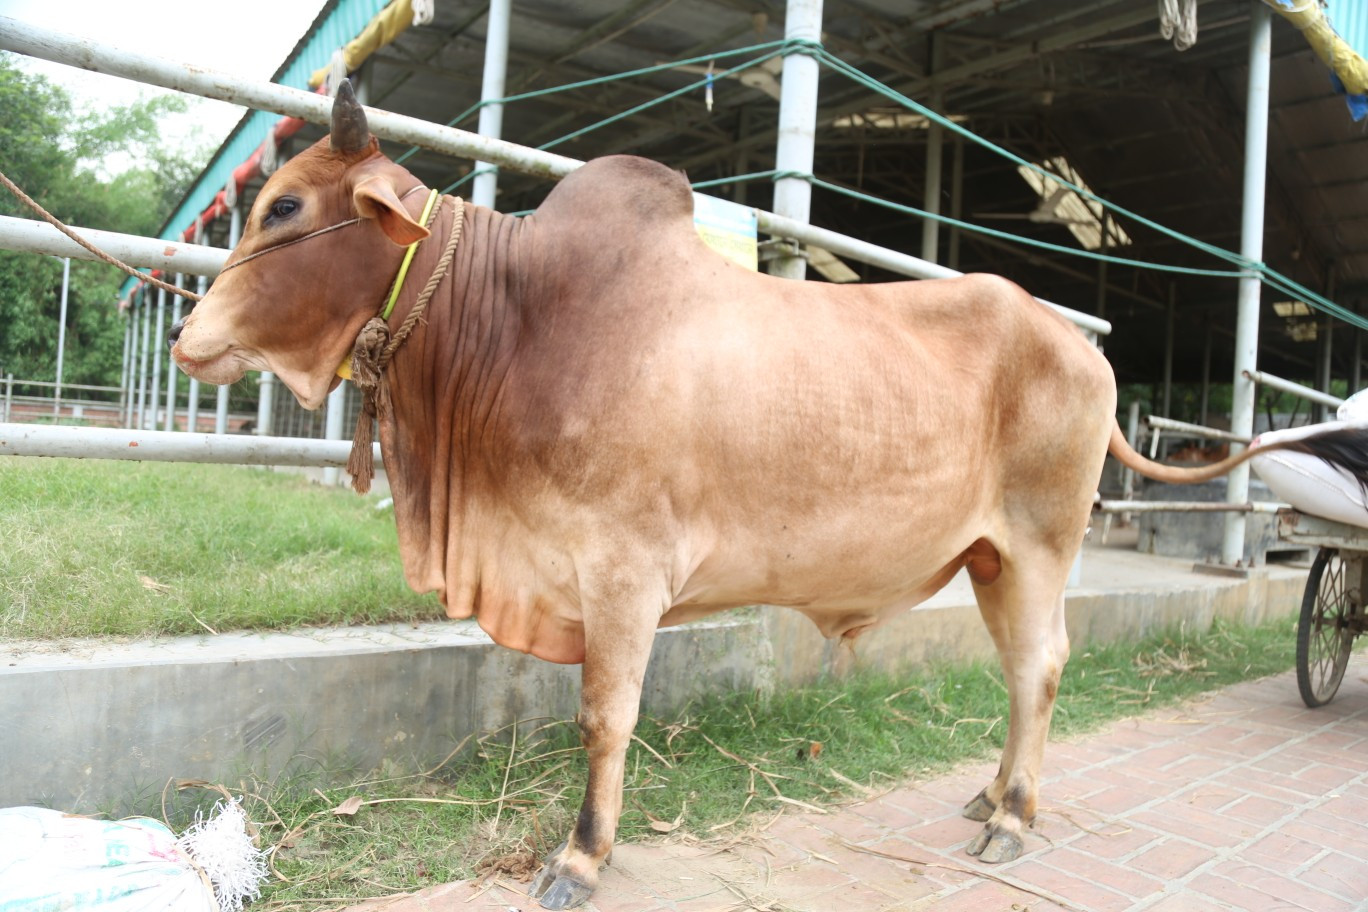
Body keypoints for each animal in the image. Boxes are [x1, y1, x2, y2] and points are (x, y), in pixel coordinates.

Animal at [170, 82, 1366, 909]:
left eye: (286, 205)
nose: (188, 336)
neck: (519, 321)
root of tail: (1080, 345)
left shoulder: (624, 575)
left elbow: (604, 718)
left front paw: (581, 858)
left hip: (1039, 546)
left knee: (1039, 668)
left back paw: (1015, 821)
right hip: (988, 558)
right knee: (1023, 675)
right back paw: (991, 795)